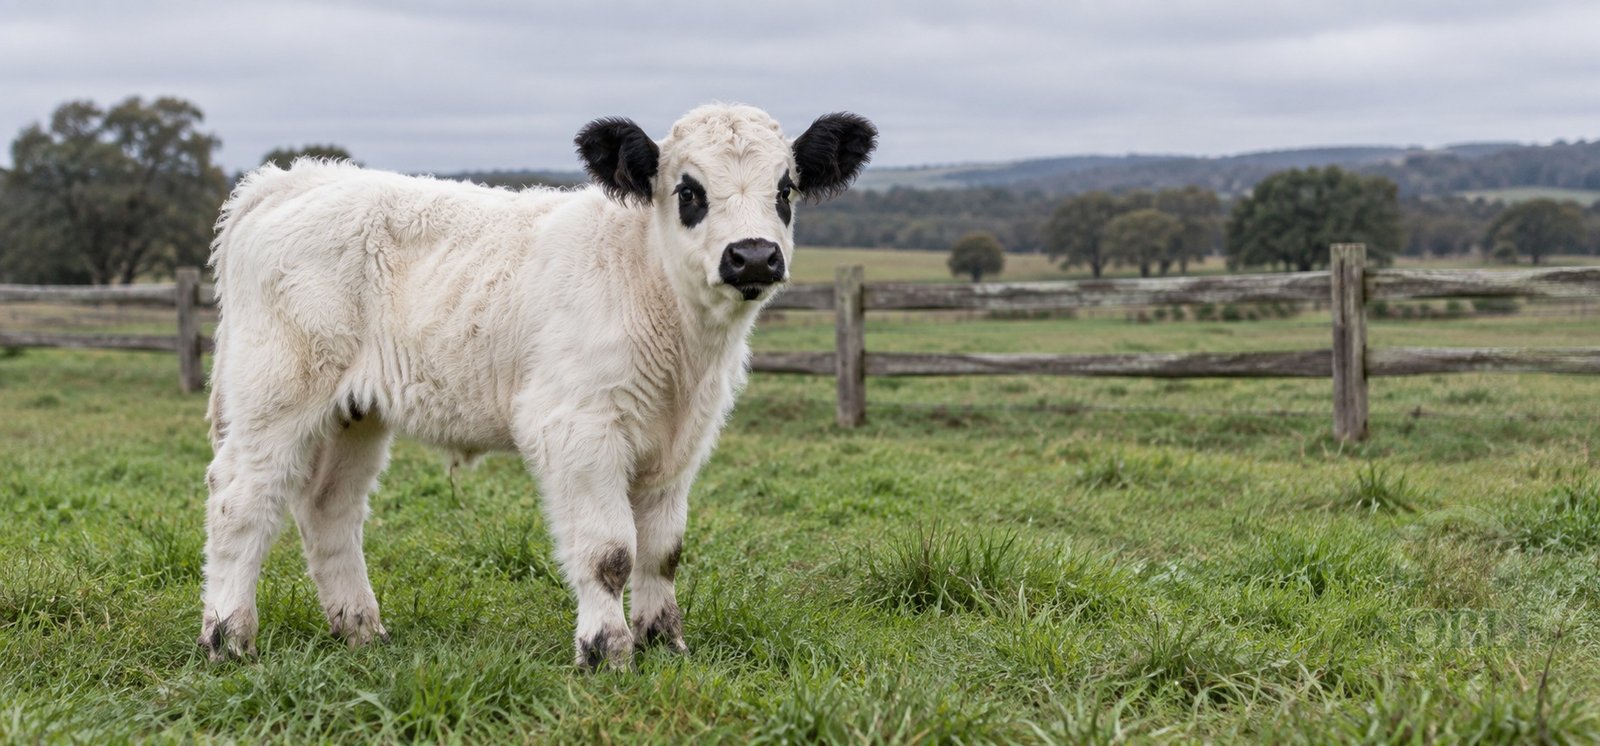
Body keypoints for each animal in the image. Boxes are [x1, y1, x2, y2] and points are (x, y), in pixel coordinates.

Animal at [199, 104, 876, 669]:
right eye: (689, 191)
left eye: (785, 189)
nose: (754, 256)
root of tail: (297, 179)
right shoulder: (577, 427)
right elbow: (610, 553)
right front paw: (607, 653)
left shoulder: (681, 443)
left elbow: (663, 550)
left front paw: (665, 642)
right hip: (274, 396)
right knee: (240, 500)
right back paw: (228, 639)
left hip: (354, 412)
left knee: (328, 507)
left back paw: (362, 630)